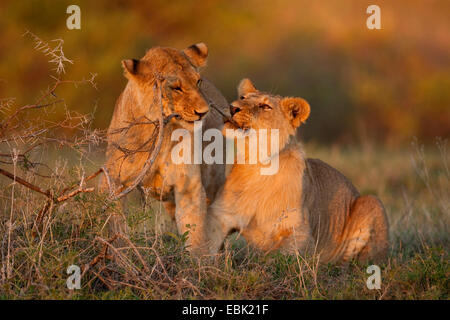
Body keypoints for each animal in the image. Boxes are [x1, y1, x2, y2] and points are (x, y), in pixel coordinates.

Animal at [100, 42, 230, 254]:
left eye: (198, 82)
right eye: (176, 87)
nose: (204, 112)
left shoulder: (189, 186)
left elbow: (195, 231)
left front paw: (199, 261)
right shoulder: (113, 180)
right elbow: (116, 224)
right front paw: (119, 253)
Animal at [206, 79, 388, 264]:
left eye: (265, 106)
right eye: (242, 97)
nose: (232, 107)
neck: (255, 162)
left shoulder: (302, 235)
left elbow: (277, 254)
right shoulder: (219, 216)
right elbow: (205, 243)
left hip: (371, 202)